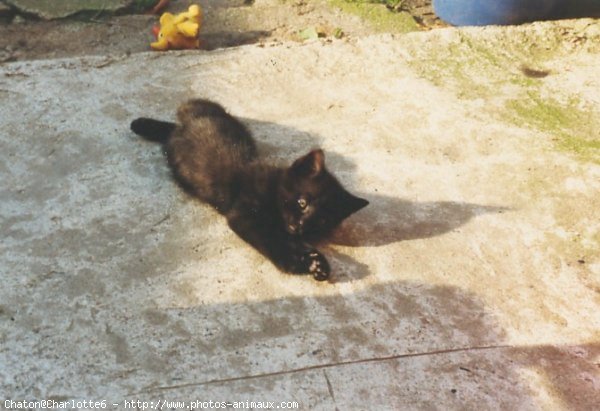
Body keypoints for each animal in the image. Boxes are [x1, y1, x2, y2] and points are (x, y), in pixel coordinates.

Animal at [129, 98, 368, 282]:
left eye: (322, 220)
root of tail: (187, 122)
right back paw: (141, 124)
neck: (273, 186)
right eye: (302, 202)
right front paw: (297, 263)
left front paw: (317, 263)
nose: (299, 226)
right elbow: (270, 240)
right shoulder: (244, 215)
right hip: (201, 109)